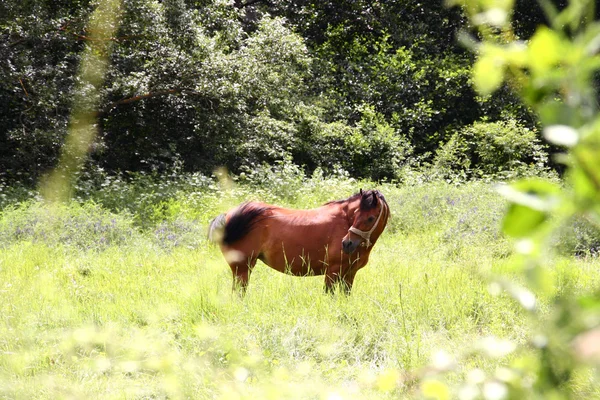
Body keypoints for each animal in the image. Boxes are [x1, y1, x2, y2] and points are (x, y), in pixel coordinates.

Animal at [209, 189, 392, 296]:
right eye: (356, 214)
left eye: (370, 218)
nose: (347, 243)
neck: (345, 221)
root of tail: (227, 215)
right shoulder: (332, 271)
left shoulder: (349, 274)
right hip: (242, 268)